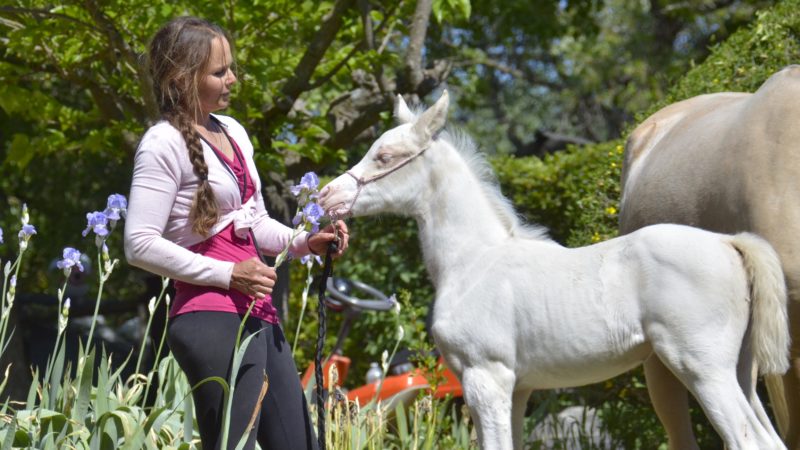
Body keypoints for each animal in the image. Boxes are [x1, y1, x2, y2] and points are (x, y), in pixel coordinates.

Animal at [319, 91, 790, 450]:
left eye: (384, 155)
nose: (325, 196)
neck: (474, 261)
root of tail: (728, 243)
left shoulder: (485, 378)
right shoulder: (518, 389)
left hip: (702, 369)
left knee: (746, 440)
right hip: (740, 371)